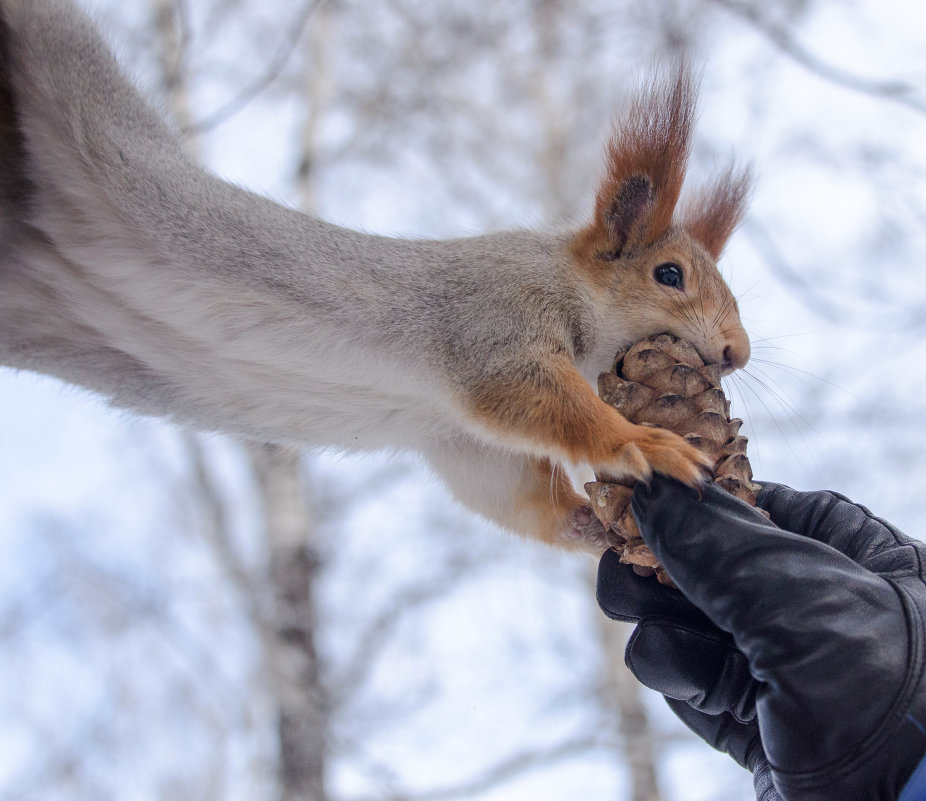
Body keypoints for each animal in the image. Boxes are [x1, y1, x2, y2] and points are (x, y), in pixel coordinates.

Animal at [0, 0, 752, 552]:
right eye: (669, 274)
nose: (738, 353)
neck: (570, 289)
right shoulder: (495, 324)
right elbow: (538, 399)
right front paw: (646, 444)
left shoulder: (460, 440)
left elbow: (511, 492)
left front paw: (598, 529)